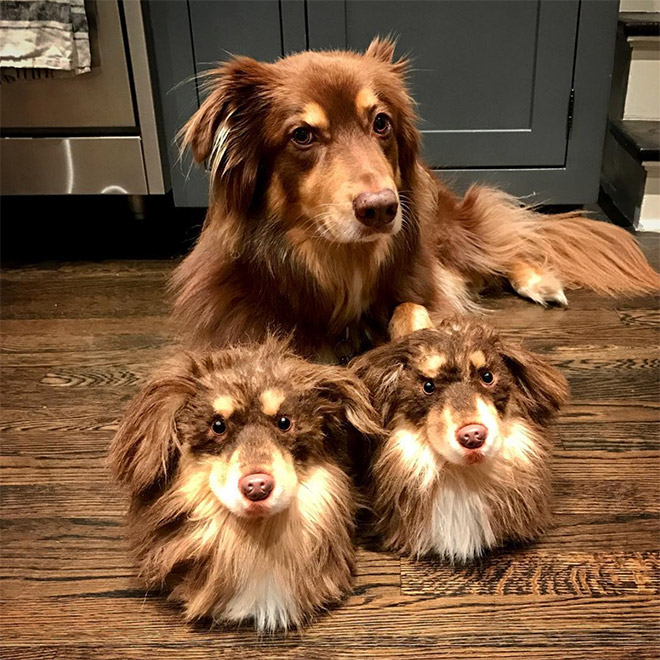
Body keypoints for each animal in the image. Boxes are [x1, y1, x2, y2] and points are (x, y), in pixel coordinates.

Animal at [171, 36, 660, 360]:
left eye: (381, 122)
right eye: (302, 135)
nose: (382, 209)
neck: (337, 263)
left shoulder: (423, 282)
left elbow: (412, 309)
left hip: (444, 234)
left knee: (500, 253)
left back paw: (541, 282)